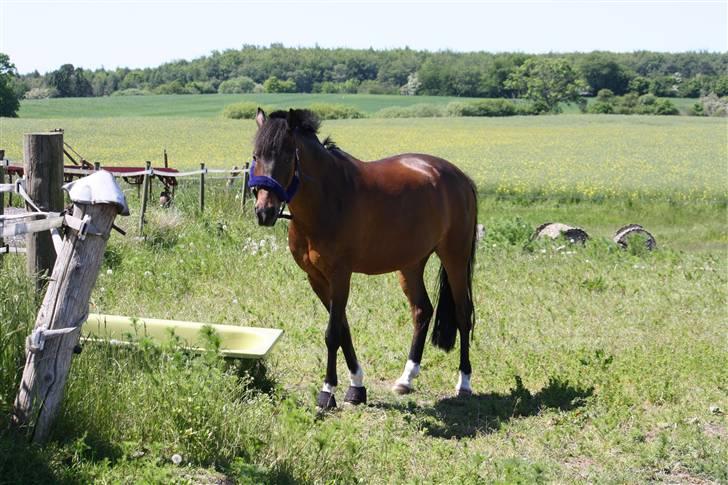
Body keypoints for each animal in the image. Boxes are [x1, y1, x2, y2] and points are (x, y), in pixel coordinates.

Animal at [249, 108, 478, 406]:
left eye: (287, 156)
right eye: (255, 156)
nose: (264, 212)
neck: (329, 198)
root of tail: (461, 178)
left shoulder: (339, 275)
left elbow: (332, 333)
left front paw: (327, 391)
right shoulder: (317, 278)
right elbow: (343, 328)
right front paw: (356, 386)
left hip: (455, 259)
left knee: (463, 314)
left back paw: (464, 382)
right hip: (410, 264)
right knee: (422, 311)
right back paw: (406, 379)